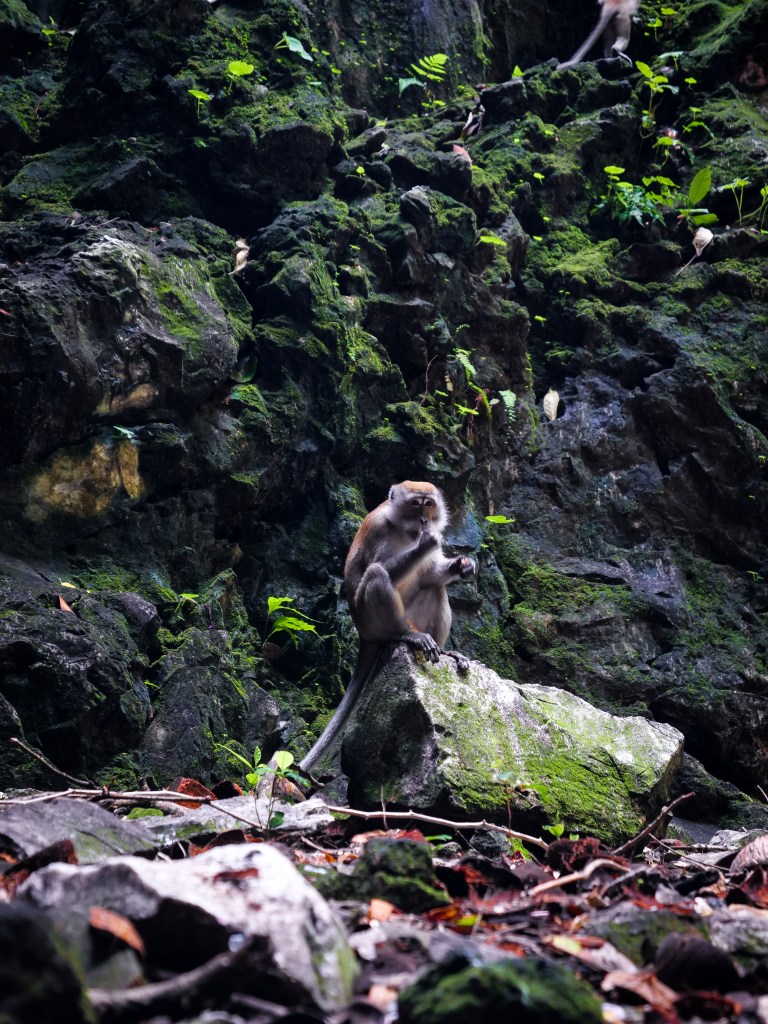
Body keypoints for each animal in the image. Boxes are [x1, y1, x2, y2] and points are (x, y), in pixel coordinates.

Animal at [299, 481, 476, 774]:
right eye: (415, 504)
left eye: (429, 504)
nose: (424, 520)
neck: (403, 530)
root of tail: (363, 634)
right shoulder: (379, 530)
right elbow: (379, 566)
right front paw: (427, 542)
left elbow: (430, 575)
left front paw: (462, 564)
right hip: (372, 618)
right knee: (377, 574)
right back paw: (406, 635)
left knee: (435, 588)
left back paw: (444, 651)